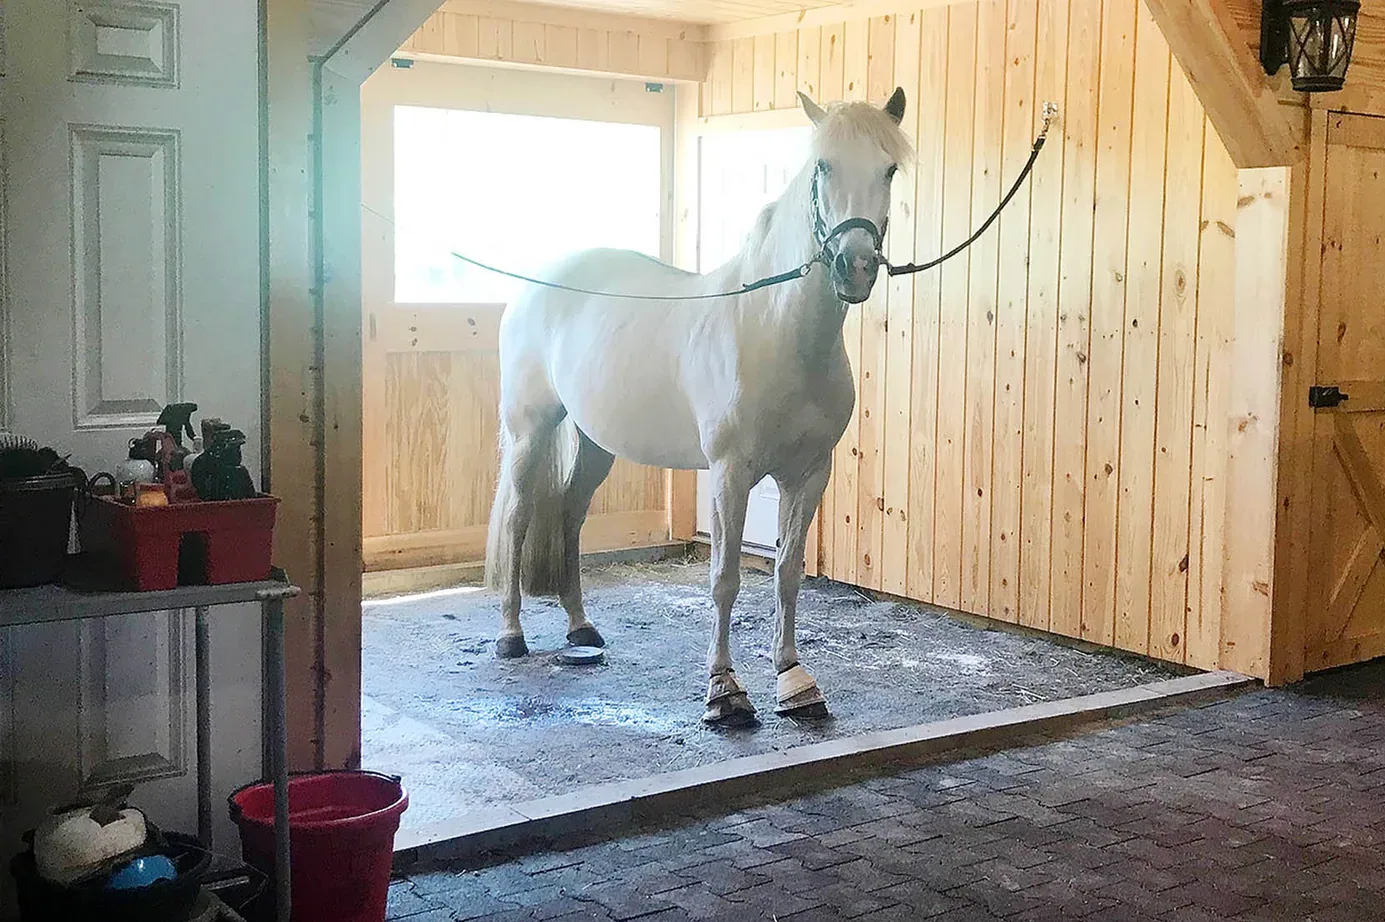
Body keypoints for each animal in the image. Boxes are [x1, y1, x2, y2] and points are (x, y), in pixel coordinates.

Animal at [484, 87, 913, 726]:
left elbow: (787, 573)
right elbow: (725, 578)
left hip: (595, 444)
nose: (854, 267)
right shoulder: (730, 474)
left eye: (888, 169)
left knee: (568, 515)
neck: (774, 330)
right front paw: (724, 689)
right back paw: (511, 634)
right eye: (823, 166)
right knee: (517, 517)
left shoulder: (809, 473)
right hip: (529, 430)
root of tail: (542, 279)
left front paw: (794, 679)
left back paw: (581, 626)